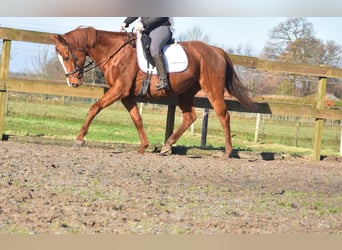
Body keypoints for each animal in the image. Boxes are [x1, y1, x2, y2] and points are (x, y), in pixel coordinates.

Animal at [51, 26, 254, 158]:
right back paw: (166, 146)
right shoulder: (126, 95)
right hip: (185, 92)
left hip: (213, 89)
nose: (72, 82)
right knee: (189, 117)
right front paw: (143, 146)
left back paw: (227, 152)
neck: (115, 52)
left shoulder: (119, 89)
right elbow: (137, 118)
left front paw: (79, 139)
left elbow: (95, 107)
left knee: (223, 115)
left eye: (67, 56)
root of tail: (217, 50)